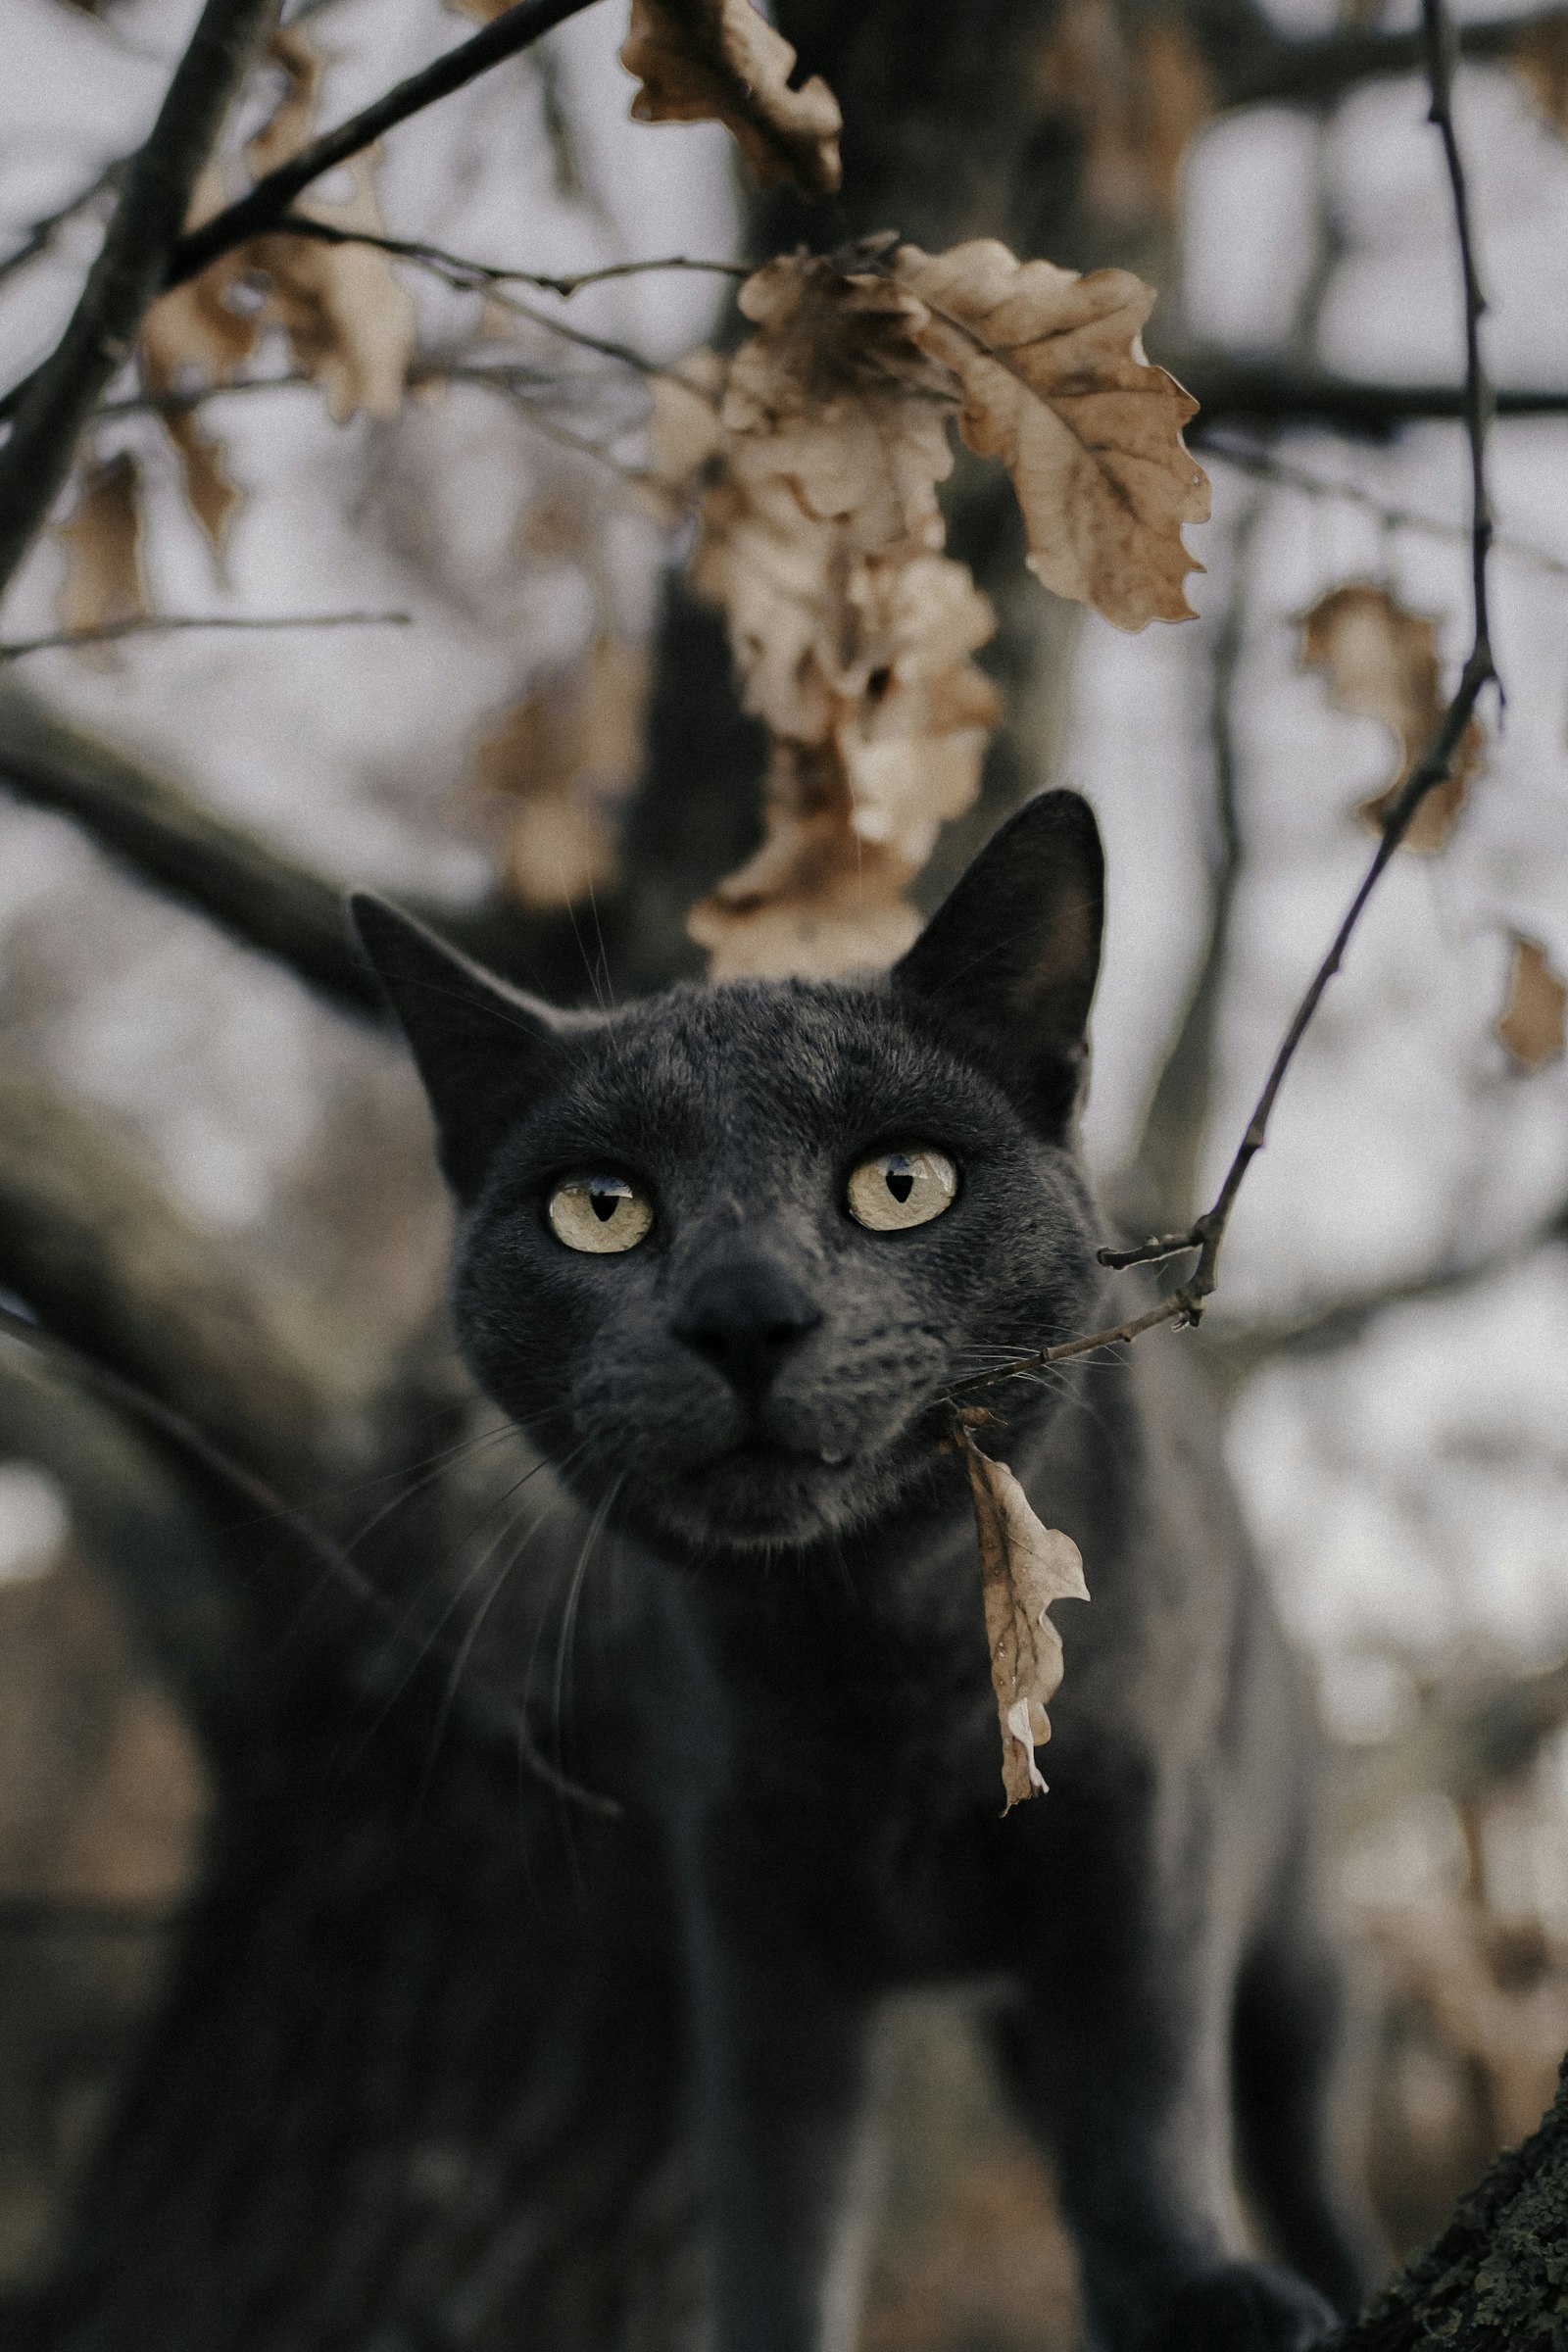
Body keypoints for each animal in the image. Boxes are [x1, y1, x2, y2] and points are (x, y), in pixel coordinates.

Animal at [352, 790, 1372, 2352]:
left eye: (901, 1184)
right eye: (599, 1207)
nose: (745, 1311)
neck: (874, 1659)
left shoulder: (1146, 1837)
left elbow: (1144, 2102)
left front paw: (1203, 2292)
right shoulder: (757, 1917)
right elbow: (781, 2196)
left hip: (1296, 1945)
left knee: (1292, 2134)